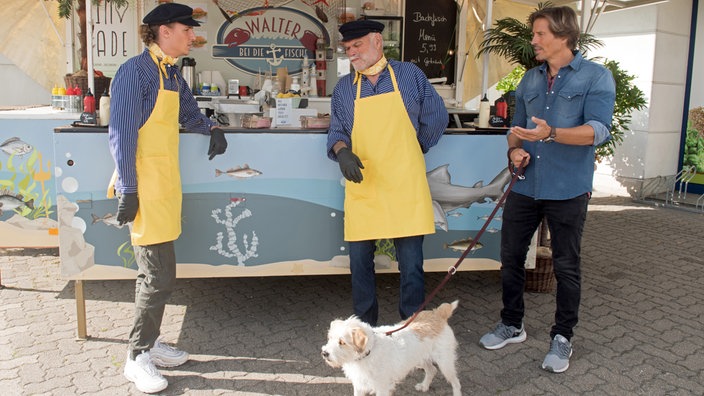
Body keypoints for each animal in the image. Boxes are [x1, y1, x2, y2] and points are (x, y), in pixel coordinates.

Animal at [320, 302, 462, 394]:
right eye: (330, 338)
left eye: (342, 342)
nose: (324, 353)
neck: (368, 353)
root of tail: (438, 314)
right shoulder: (359, 385)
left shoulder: (382, 387)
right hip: (419, 359)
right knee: (432, 370)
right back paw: (424, 386)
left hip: (445, 363)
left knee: (456, 382)